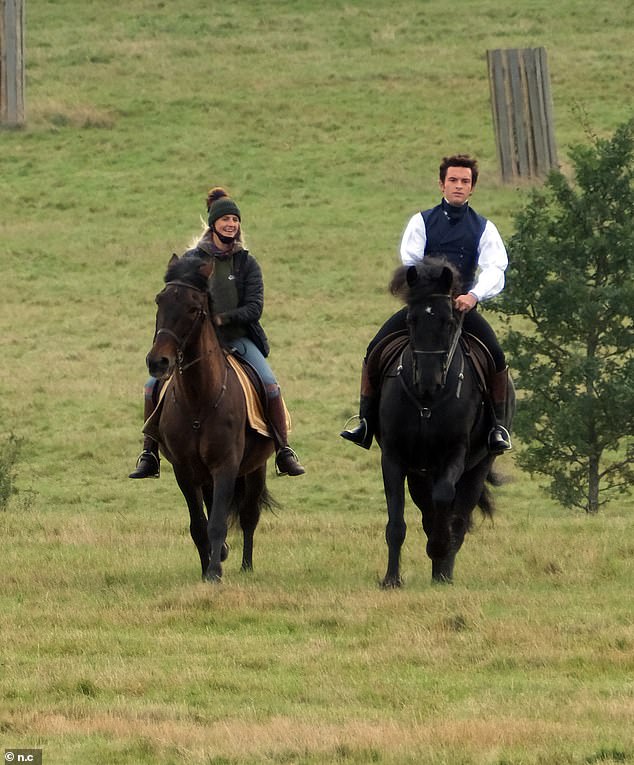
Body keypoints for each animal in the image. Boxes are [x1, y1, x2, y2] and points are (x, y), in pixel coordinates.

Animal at [146, 254, 274, 580]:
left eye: (194, 308)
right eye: (160, 300)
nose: (158, 362)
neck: (199, 401)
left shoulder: (226, 465)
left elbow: (217, 523)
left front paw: (215, 572)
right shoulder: (184, 470)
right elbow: (198, 525)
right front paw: (207, 568)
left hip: (256, 469)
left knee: (249, 516)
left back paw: (246, 566)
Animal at [372, 258, 512, 584]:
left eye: (449, 322)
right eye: (410, 320)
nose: (428, 382)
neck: (427, 403)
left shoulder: (455, 453)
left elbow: (446, 502)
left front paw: (438, 549)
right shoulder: (394, 457)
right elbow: (396, 523)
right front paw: (391, 580)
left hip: (477, 467)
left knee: (457, 517)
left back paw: (443, 572)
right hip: (420, 474)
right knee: (429, 513)